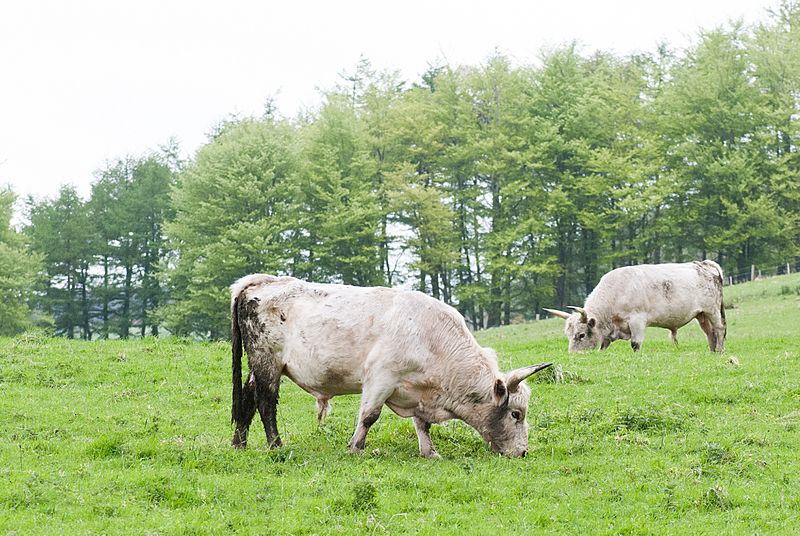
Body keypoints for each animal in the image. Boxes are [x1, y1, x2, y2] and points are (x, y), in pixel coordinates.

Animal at [230, 274, 552, 458]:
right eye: (516, 414)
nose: (523, 452)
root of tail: (262, 281)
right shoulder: (380, 378)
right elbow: (369, 416)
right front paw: (355, 447)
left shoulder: (418, 391)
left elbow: (422, 425)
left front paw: (429, 452)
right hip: (267, 362)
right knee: (265, 403)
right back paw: (275, 445)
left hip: (258, 367)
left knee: (247, 399)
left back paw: (239, 443)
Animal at [544, 260, 726, 353]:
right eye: (568, 335)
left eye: (581, 335)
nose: (574, 355)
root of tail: (704, 264)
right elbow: (603, 346)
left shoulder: (637, 321)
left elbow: (635, 344)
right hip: (701, 314)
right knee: (709, 332)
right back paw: (712, 351)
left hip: (712, 310)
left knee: (719, 329)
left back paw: (720, 351)